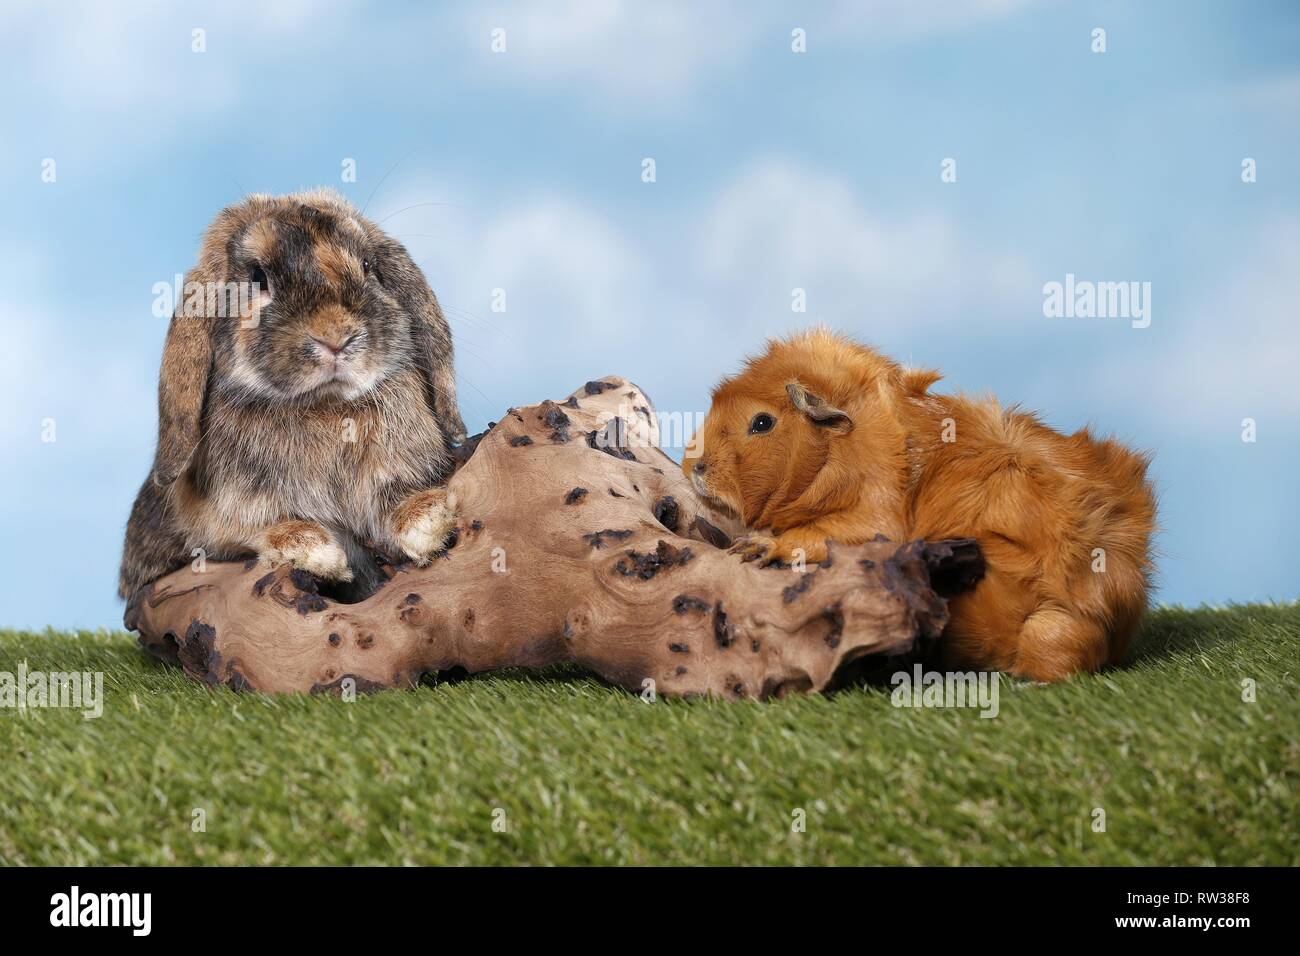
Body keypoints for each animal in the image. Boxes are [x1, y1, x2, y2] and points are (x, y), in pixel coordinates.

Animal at [119, 188, 466, 600]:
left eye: (368, 265)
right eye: (258, 277)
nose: (337, 337)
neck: (326, 406)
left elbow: (398, 501)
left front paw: (426, 523)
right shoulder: (223, 520)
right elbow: (255, 530)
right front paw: (317, 553)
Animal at [684, 327, 1157, 682]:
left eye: (762, 422)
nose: (693, 466)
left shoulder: (875, 515)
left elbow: (820, 534)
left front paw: (757, 546)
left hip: (1049, 630)